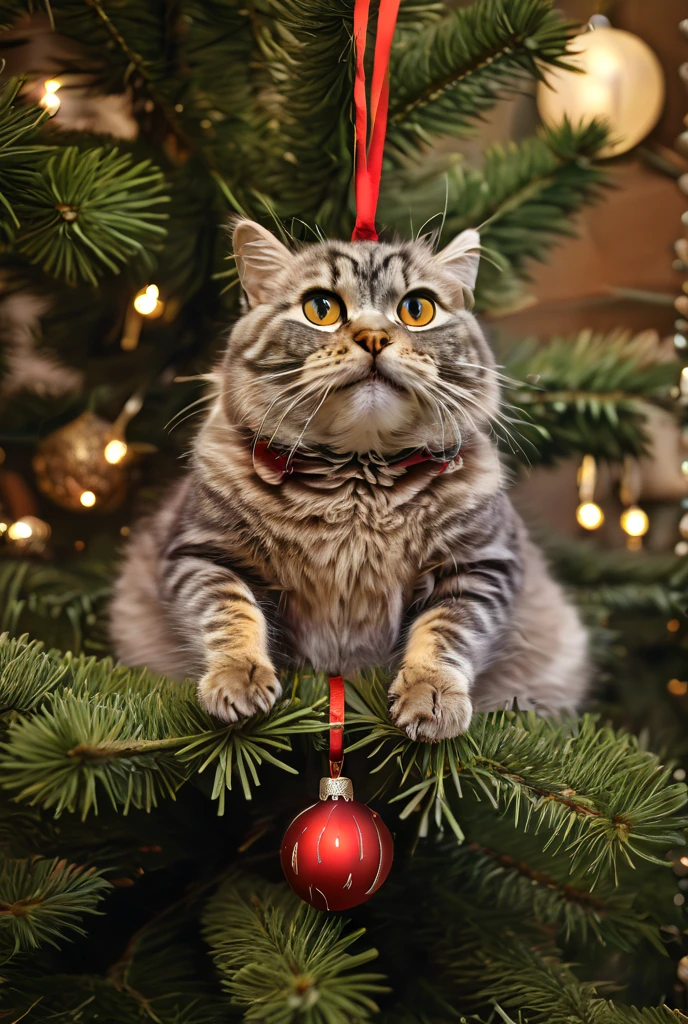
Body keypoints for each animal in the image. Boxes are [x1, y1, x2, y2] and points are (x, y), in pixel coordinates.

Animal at [110, 220, 589, 741]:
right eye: (321, 308)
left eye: (416, 310)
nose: (374, 337)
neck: (358, 485)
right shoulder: (200, 551)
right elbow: (230, 613)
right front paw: (238, 678)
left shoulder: (481, 565)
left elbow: (444, 635)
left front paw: (431, 696)